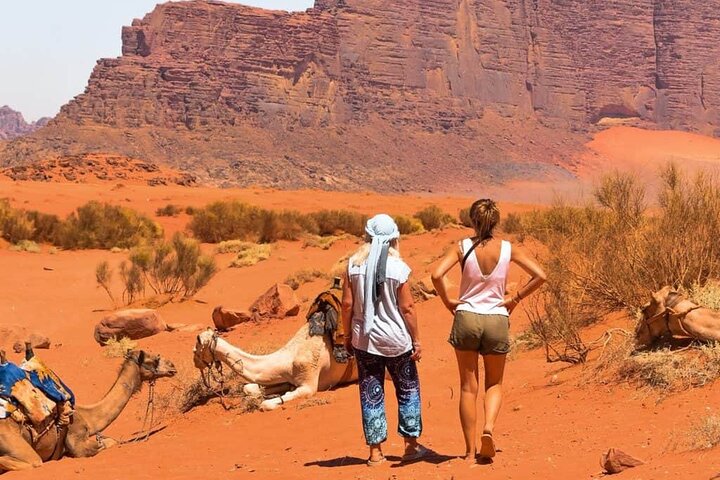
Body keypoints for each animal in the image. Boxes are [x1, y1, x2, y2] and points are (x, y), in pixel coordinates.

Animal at [0, 348, 176, 472]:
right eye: (154, 359)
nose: (172, 366)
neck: (87, 417)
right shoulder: (76, 439)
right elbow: (105, 444)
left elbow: (109, 440)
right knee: (30, 461)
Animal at [194, 322, 358, 408]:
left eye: (196, 348)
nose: (195, 363)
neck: (288, 360)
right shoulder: (286, 378)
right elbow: (249, 388)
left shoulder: (309, 384)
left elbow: (266, 404)